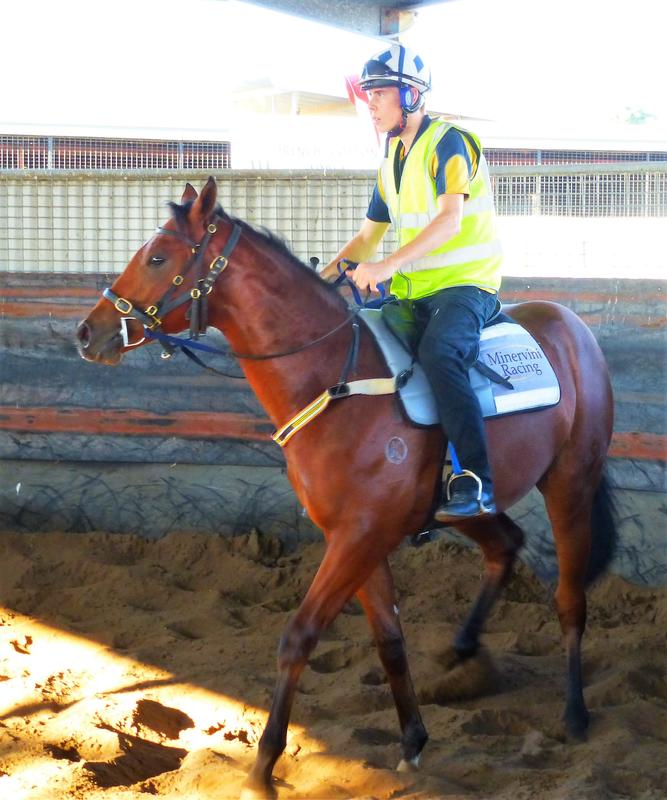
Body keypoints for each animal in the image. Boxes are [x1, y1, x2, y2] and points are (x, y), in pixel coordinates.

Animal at [76, 177, 617, 800]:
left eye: (159, 258)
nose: (87, 332)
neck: (335, 378)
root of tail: (573, 328)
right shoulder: (362, 537)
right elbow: (390, 641)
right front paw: (412, 742)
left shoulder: (359, 536)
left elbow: (299, 636)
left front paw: (262, 766)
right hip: (469, 506)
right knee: (506, 544)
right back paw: (462, 650)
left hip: (570, 484)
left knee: (570, 598)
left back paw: (575, 713)